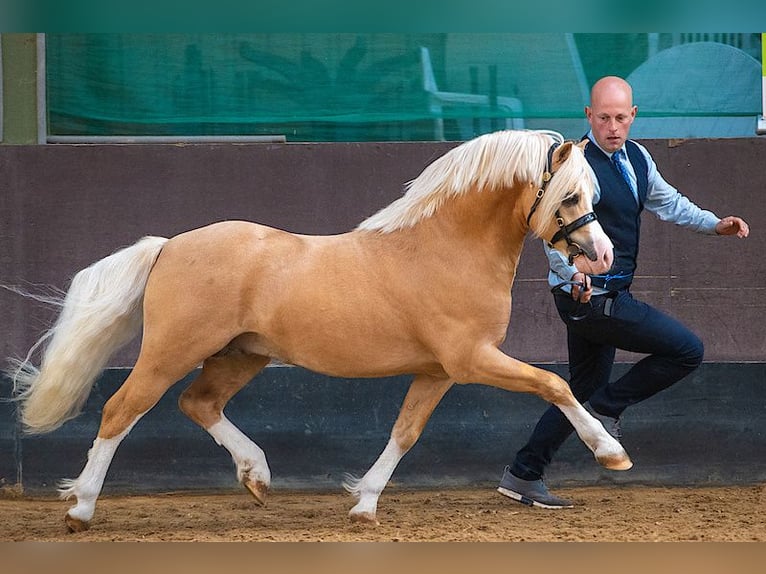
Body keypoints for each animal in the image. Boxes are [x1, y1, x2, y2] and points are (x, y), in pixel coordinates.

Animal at [10, 129, 630, 532]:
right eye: (570, 195)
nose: (602, 256)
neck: (446, 248)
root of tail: (168, 246)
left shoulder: (437, 372)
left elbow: (405, 433)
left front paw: (364, 505)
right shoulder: (471, 359)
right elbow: (555, 384)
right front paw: (612, 453)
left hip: (242, 356)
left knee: (198, 403)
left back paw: (256, 476)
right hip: (171, 351)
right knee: (122, 410)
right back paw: (80, 509)